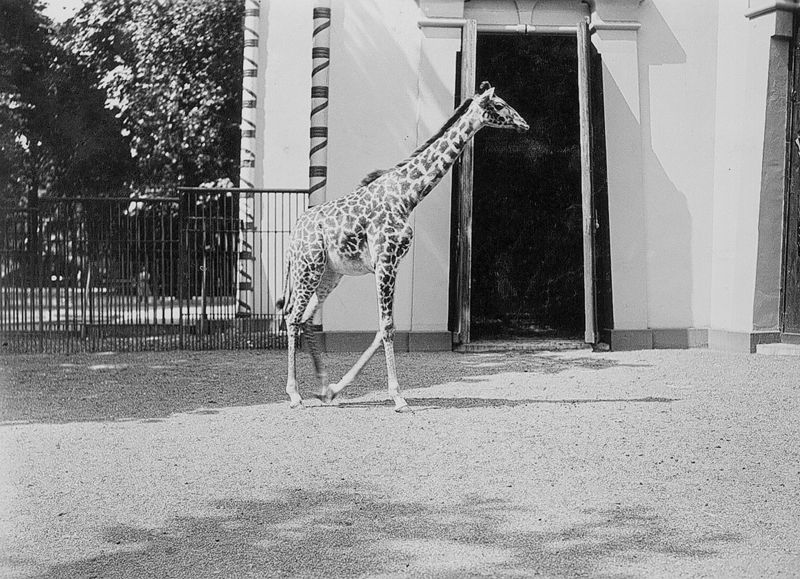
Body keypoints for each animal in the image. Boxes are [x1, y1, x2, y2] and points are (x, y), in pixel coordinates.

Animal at [277, 81, 529, 412]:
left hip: (331, 273)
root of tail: (295, 232)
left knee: (305, 318)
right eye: (499, 105)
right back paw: (294, 394)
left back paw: (322, 387)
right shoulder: (386, 262)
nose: (524, 124)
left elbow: (381, 328)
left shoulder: (390, 265)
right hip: (308, 268)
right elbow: (387, 327)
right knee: (292, 317)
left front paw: (336, 388)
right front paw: (398, 398)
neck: (408, 196)